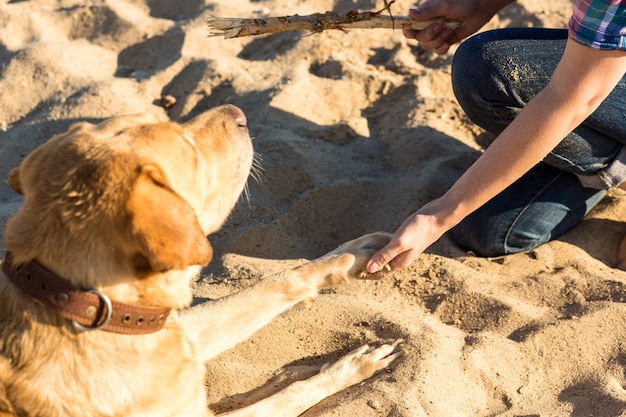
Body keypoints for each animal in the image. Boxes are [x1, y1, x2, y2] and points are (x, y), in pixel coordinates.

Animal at [0, 105, 398, 416]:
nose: (239, 112)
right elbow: (289, 394)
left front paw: (352, 255)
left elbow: (274, 283)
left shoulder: (182, 335)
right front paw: (349, 369)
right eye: (189, 149)